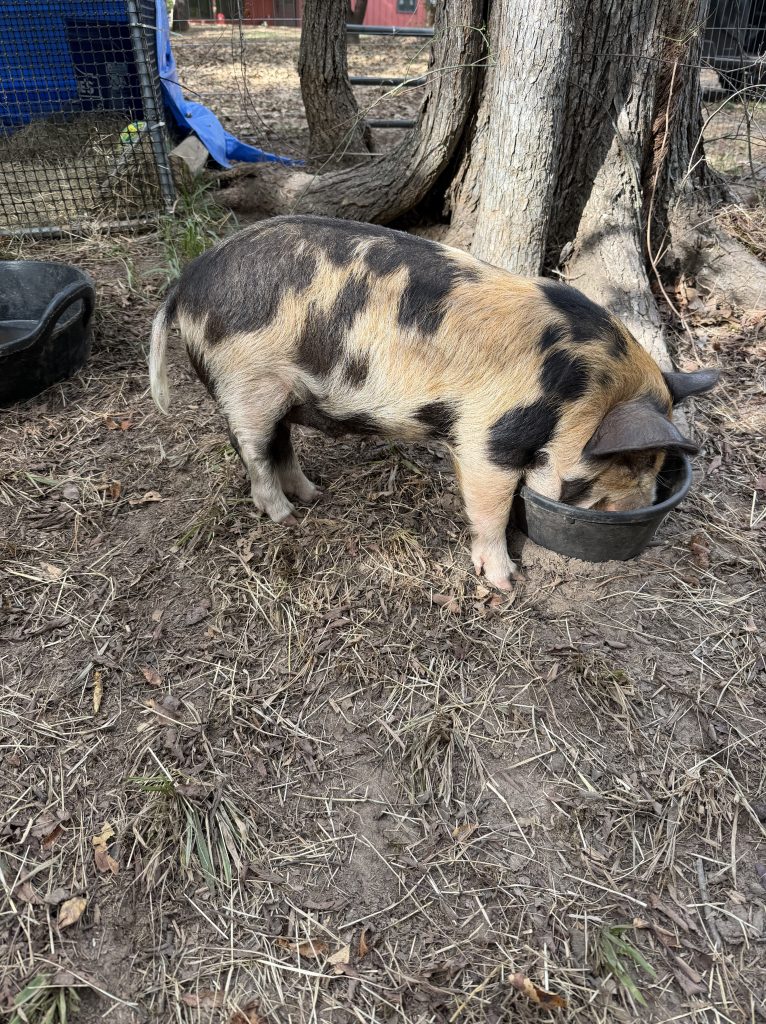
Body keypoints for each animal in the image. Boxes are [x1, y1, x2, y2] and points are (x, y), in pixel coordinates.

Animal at [149, 215, 718, 589]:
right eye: (632, 460)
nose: (643, 508)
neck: (581, 388)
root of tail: (187, 280)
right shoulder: (487, 435)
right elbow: (491, 504)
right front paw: (506, 583)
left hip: (279, 390)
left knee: (279, 444)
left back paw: (313, 495)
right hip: (246, 382)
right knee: (253, 450)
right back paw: (286, 516)